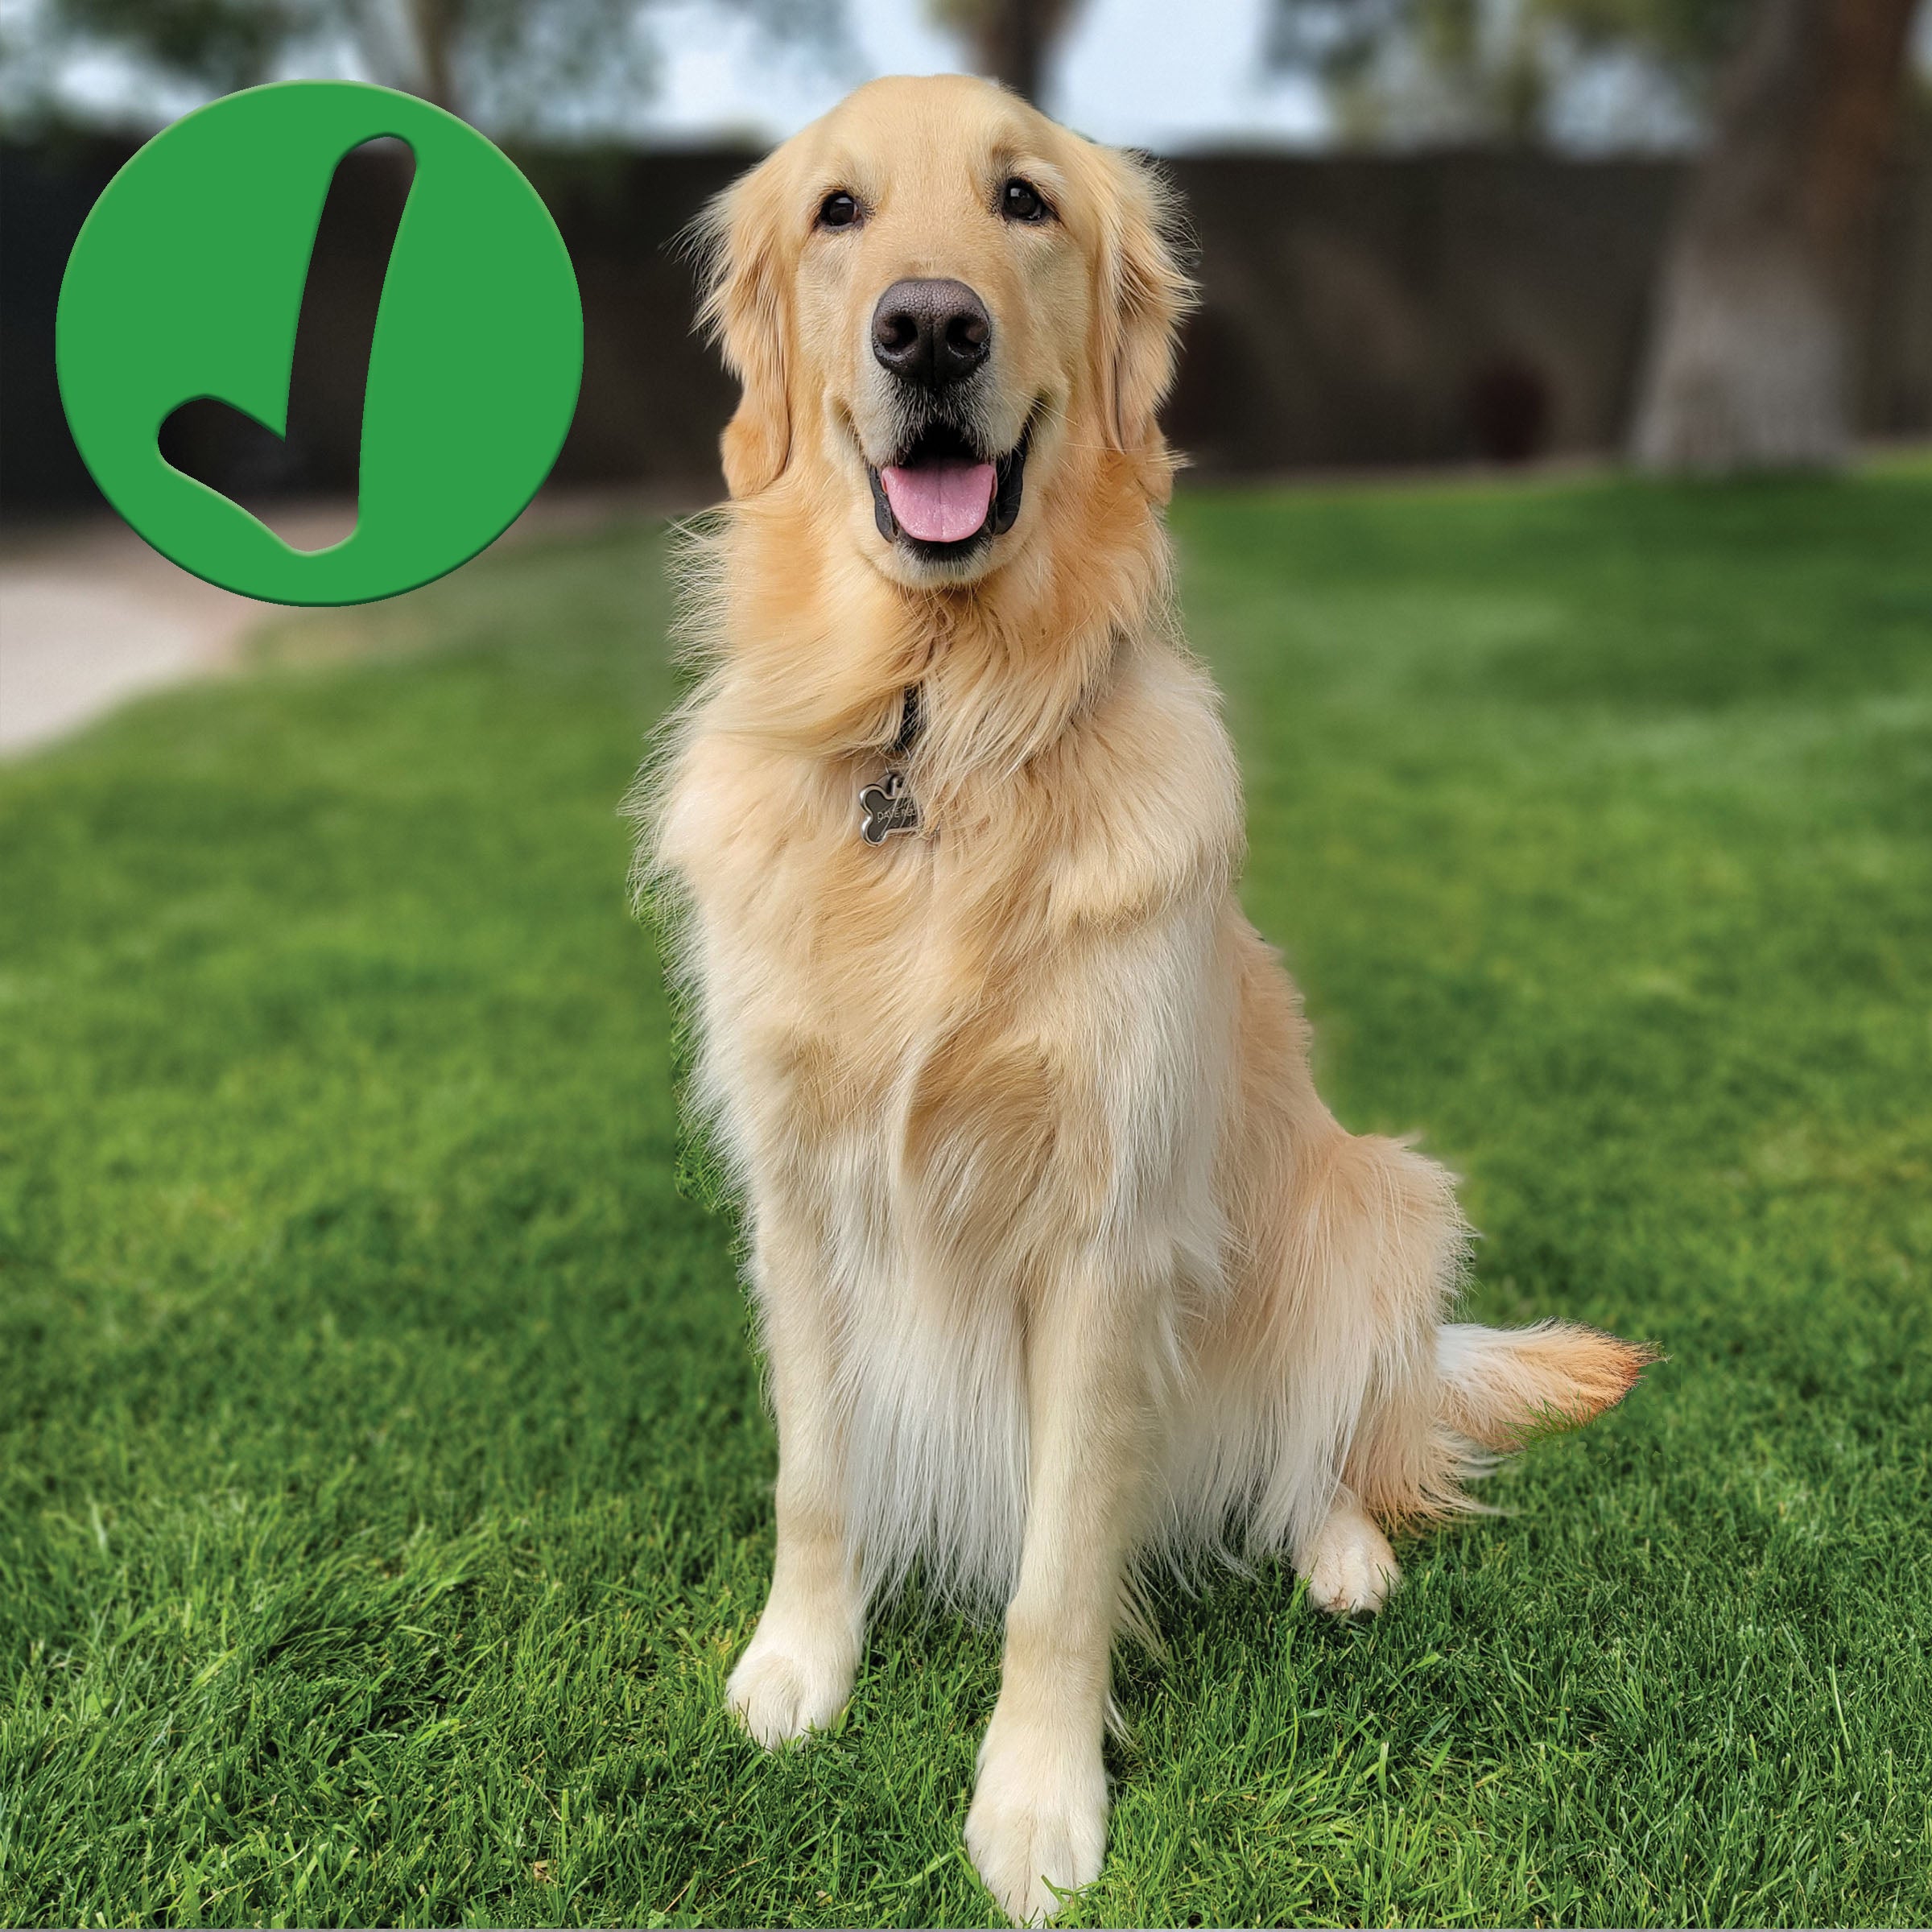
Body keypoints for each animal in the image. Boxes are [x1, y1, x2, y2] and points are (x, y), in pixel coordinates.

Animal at [638, 71, 1662, 1916]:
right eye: (840, 213)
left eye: (1022, 201)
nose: (930, 327)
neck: (936, 735)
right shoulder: (795, 1193)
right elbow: (816, 1478)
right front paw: (796, 1672)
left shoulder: (1108, 1232)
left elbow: (1059, 1576)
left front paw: (1037, 1812)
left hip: (1377, 1197)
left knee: (1335, 1436)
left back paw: (1341, 1557)